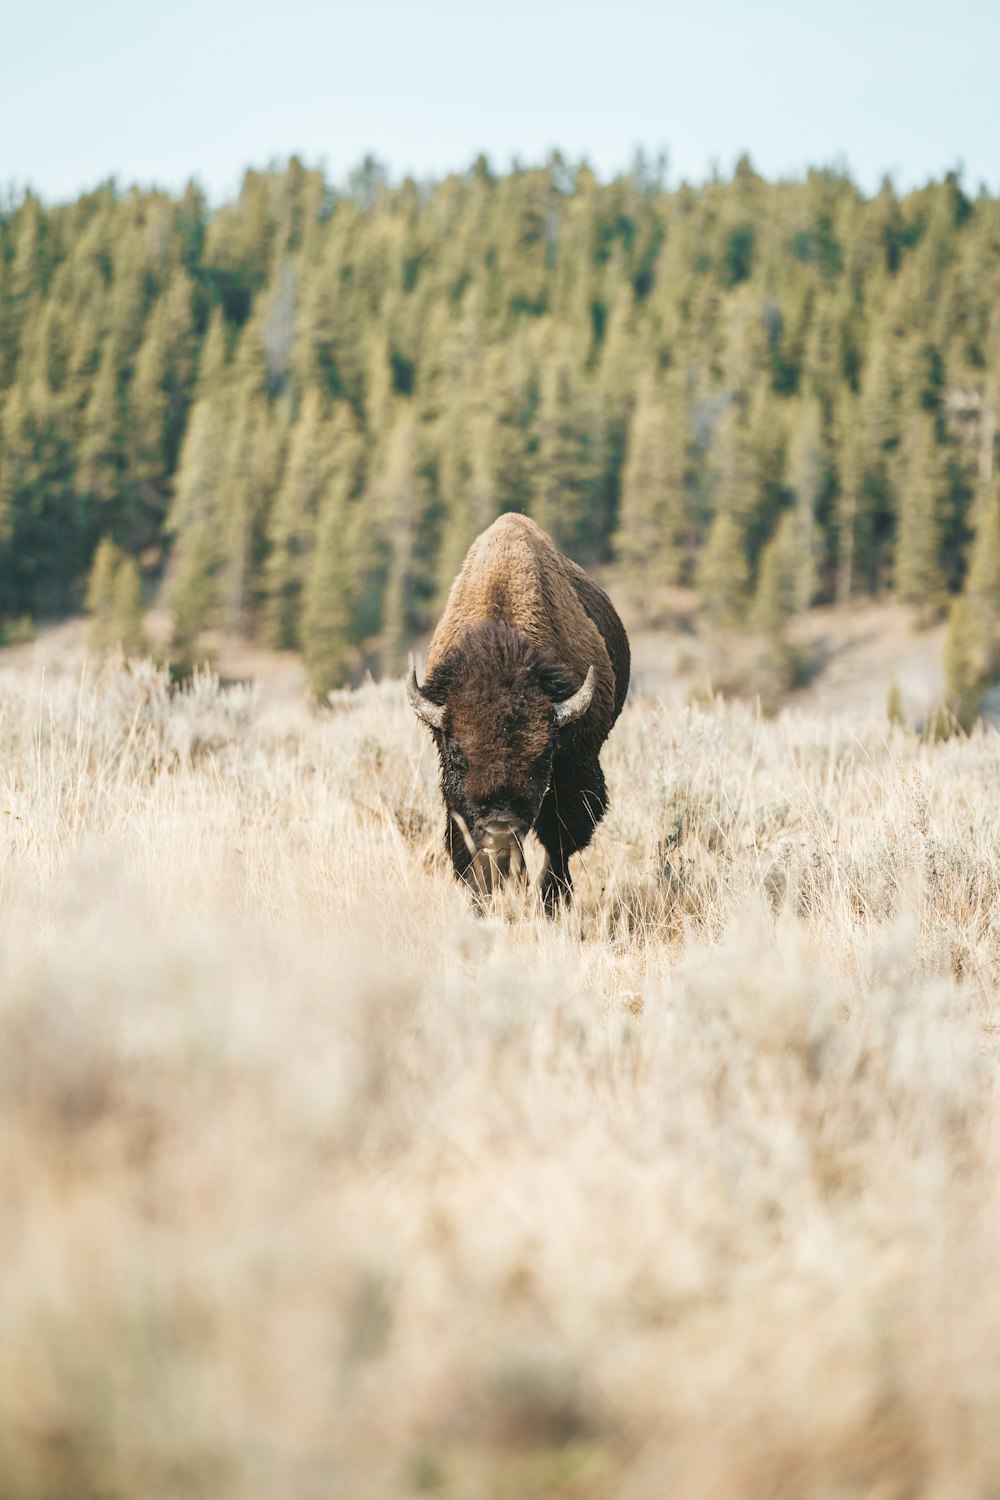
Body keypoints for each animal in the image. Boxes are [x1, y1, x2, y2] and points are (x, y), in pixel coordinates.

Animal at [404, 516, 626, 906]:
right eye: (457, 755)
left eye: (544, 758)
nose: (500, 835)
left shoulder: (576, 768)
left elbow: (560, 840)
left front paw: (553, 899)